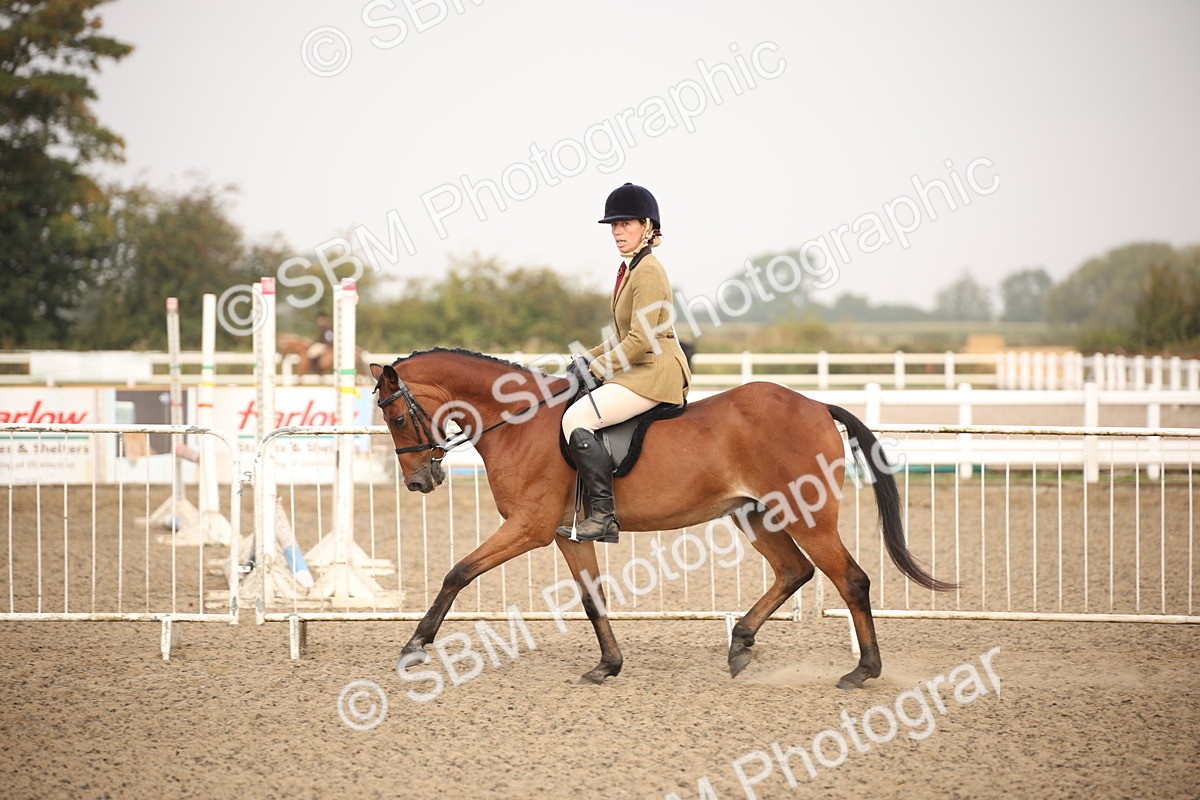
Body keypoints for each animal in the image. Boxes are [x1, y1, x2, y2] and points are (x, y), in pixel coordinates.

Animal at [370, 348, 954, 689]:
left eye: (396, 417)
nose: (420, 481)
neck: (519, 423)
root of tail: (814, 404)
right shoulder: (566, 534)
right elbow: (592, 599)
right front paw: (607, 665)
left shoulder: (528, 529)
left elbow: (458, 573)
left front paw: (414, 647)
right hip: (755, 516)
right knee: (795, 571)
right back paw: (740, 643)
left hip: (808, 516)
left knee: (850, 579)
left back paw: (863, 670)